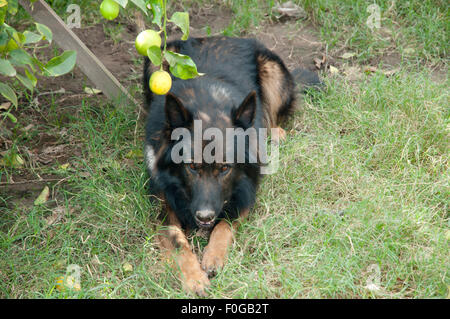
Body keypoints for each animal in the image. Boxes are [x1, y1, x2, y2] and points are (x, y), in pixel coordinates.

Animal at [143, 36, 320, 296]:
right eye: (192, 167)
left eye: (225, 168)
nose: (205, 216)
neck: (207, 106)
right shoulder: (164, 203)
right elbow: (178, 243)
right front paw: (194, 278)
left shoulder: (245, 193)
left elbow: (224, 225)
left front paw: (214, 256)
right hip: (156, 61)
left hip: (273, 73)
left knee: (273, 116)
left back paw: (276, 133)